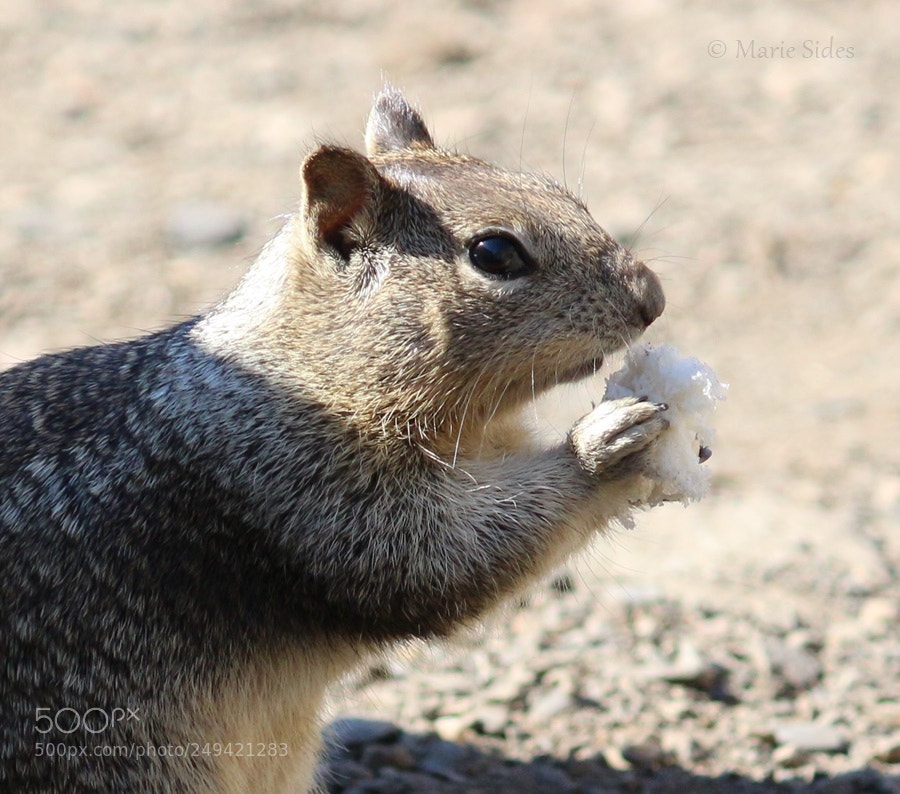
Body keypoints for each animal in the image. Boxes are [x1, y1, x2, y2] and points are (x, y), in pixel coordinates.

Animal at [0, 88, 667, 793]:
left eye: (564, 195)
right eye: (494, 252)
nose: (652, 298)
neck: (309, 366)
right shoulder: (296, 478)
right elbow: (445, 556)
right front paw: (605, 446)